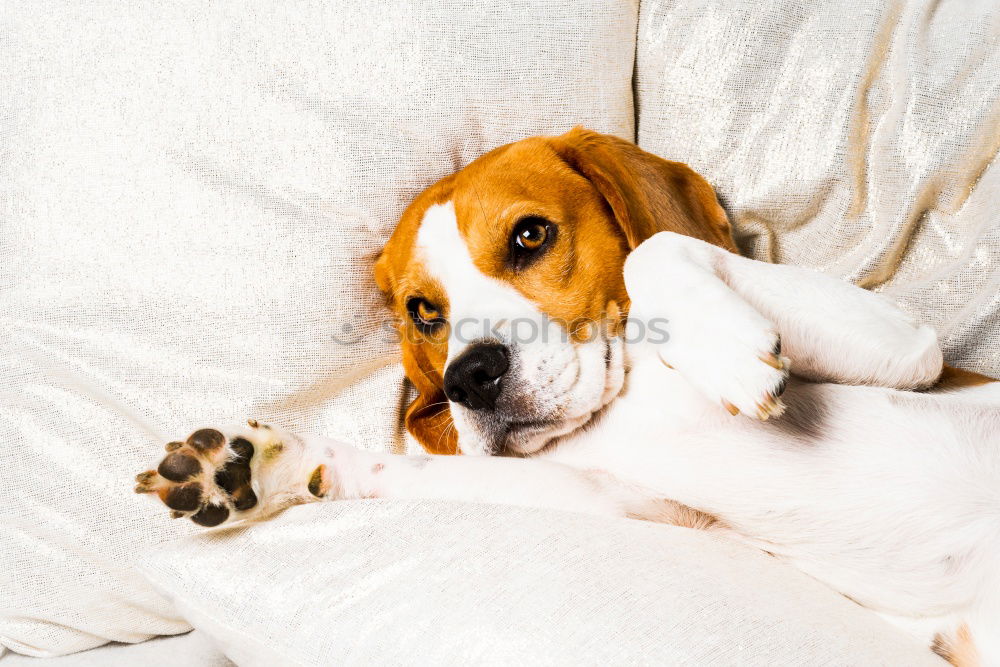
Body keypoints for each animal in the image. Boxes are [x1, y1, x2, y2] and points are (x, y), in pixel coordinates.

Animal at [139, 128, 1000, 664]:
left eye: (530, 235)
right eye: (424, 310)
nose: (468, 377)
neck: (626, 390)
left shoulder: (910, 344)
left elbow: (658, 249)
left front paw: (725, 347)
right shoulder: (635, 504)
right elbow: (404, 472)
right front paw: (266, 468)